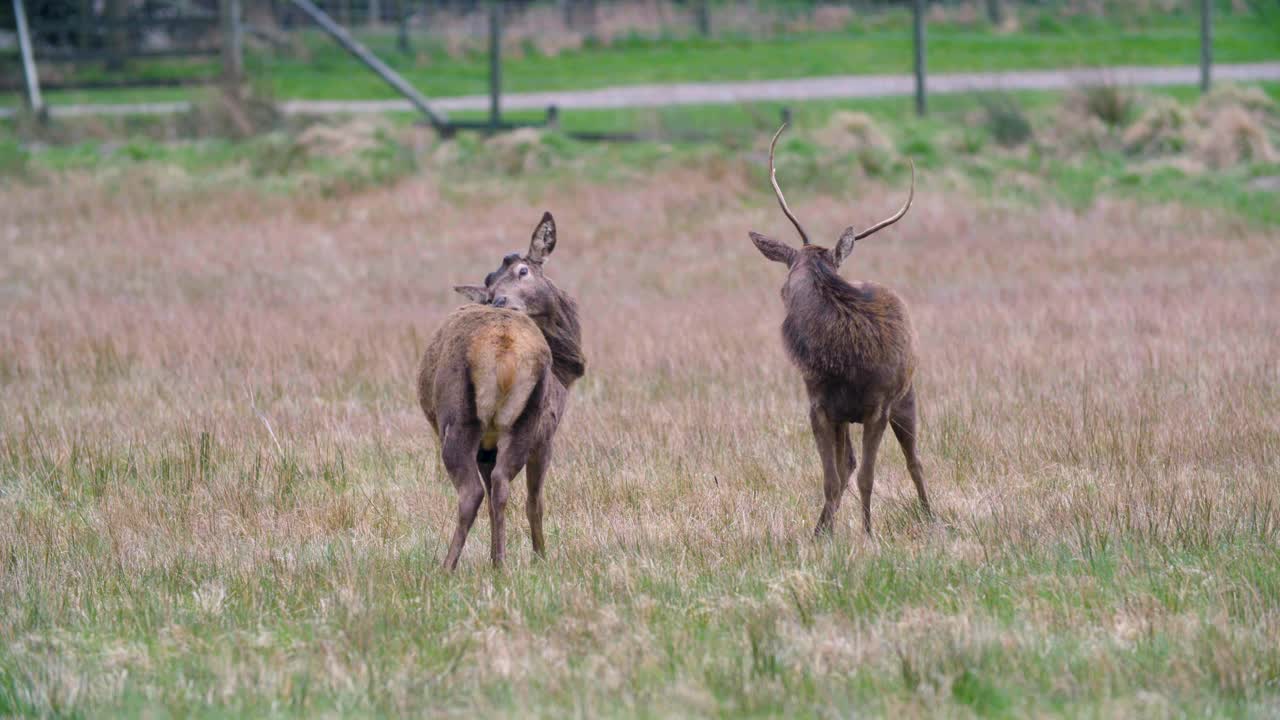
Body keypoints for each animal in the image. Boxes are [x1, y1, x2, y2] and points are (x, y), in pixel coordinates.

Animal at [414, 210, 586, 568]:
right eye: (490, 287)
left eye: (523, 270)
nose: (500, 300)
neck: (565, 375)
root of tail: (504, 349)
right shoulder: (545, 434)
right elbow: (532, 500)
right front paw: (536, 556)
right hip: (510, 422)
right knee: (492, 488)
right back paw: (470, 565)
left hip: (468, 421)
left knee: (483, 489)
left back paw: (461, 565)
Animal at [747, 126, 931, 535]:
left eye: (783, 287)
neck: (841, 359)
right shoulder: (819, 406)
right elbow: (832, 477)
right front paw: (822, 534)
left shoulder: (878, 407)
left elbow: (867, 477)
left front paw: (868, 533)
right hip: (847, 415)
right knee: (847, 464)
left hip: (906, 397)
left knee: (915, 462)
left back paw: (932, 518)